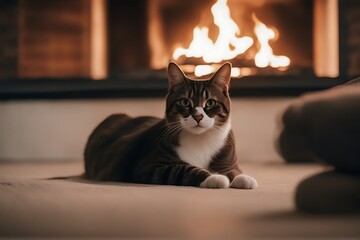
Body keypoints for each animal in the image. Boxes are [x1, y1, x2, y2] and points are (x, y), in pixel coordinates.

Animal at [83, 62, 258, 189]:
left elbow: (234, 171)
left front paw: (244, 178)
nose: (198, 116)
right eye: (185, 102)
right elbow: (183, 169)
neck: (200, 140)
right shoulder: (148, 166)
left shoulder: (229, 159)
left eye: (210, 103)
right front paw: (214, 177)